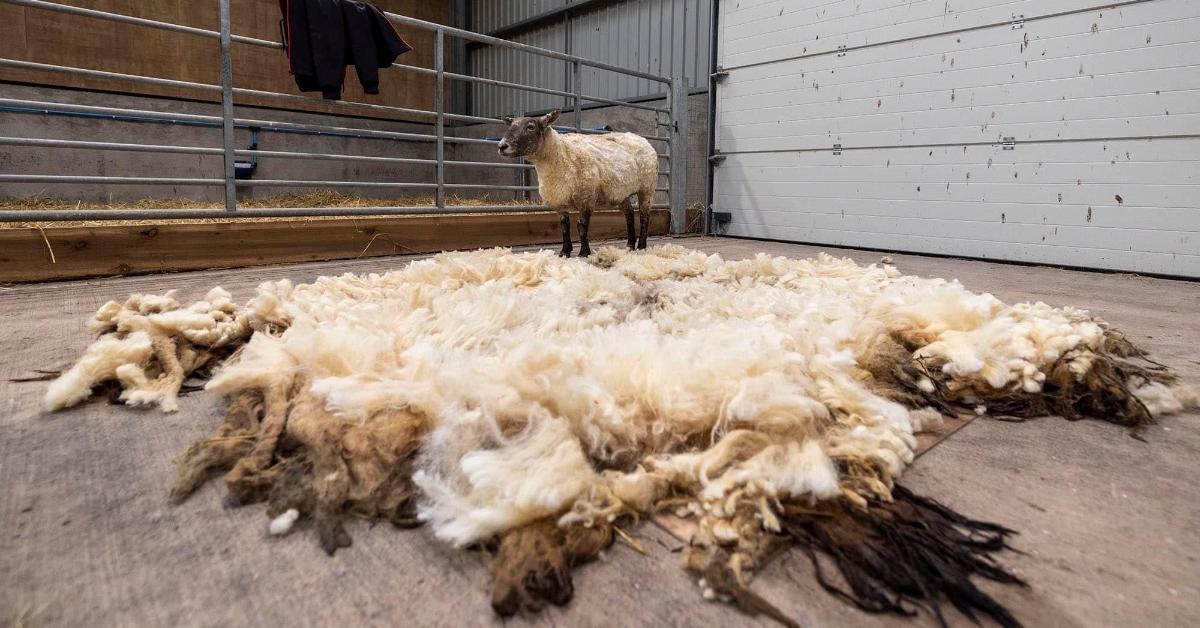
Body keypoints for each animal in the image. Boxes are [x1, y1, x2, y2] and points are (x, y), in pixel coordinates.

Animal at [501, 108, 662, 258]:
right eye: (511, 125)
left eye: (530, 126)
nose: (502, 146)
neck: (561, 155)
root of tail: (642, 139)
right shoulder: (559, 202)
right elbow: (564, 227)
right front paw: (564, 252)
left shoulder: (586, 197)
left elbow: (581, 226)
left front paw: (584, 252)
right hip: (622, 193)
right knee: (629, 215)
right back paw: (629, 245)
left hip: (647, 188)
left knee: (644, 216)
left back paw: (641, 246)